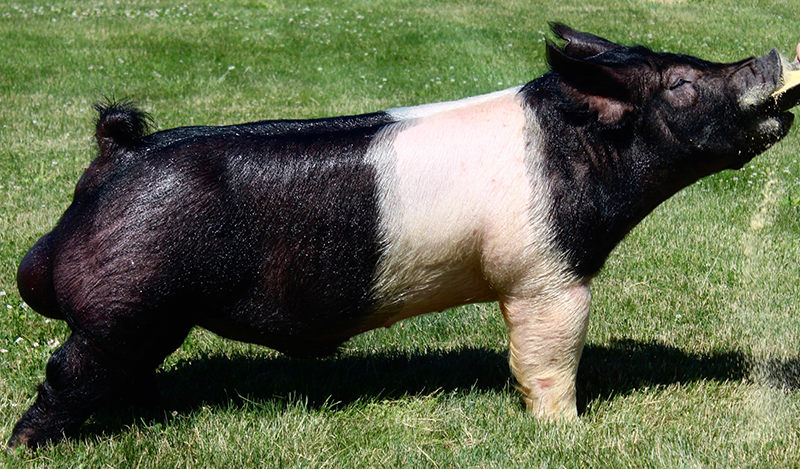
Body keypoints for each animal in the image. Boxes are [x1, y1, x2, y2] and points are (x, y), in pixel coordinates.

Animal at [9, 24, 800, 449]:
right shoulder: (544, 273)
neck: (584, 150)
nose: (769, 56)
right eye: (681, 84)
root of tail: (114, 161)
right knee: (64, 374)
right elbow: (549, 357)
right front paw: (567, 433)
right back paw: (27, 446)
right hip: (124, 307)